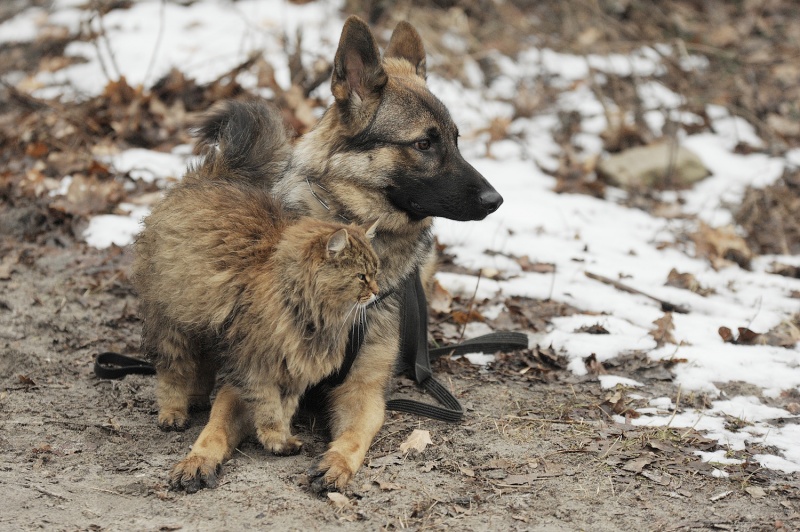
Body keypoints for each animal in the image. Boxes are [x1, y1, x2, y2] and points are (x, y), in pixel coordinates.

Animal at [133, 181, 380, 456]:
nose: (377, 291)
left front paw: (285, 437)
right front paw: (274, 439)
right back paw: (173, 413)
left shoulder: (295, 368)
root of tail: (190, 186)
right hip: (171, 325)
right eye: (361, 276)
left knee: (203, 364)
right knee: (172, 372)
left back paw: (197, 400)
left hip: (205, 326)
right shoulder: (256, 363)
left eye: (376, 272)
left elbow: (286, 407)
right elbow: (269, 406)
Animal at [161, 16, 500, 492]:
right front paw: (198, 457)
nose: (496, 200)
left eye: (456, 140)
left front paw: (336, 462)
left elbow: (355, 434)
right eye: (424, 144)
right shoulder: (251, 373)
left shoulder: (362, 389)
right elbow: (217, 423)